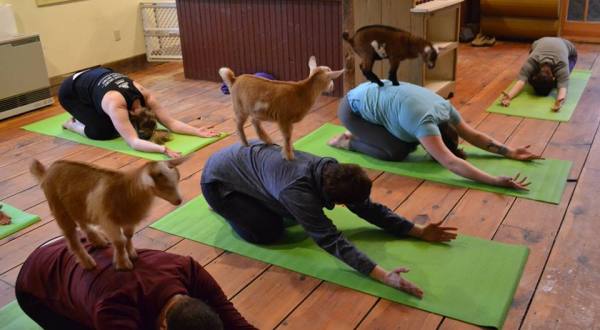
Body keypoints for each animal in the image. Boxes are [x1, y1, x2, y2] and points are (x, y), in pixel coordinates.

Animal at [29, 158, 185, 270]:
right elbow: (119, 241)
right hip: (59, 209)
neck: (126, 189)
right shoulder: (108, 220)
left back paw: (98, 240)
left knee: (83, 222)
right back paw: (88, 263)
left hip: (77, 204)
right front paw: (123, 264)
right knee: (72, 238)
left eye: (177, 180)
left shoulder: (128, 219)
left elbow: (128, 236)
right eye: (163, 186)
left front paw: (131, 254)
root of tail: (47, 171)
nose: (179, 201)